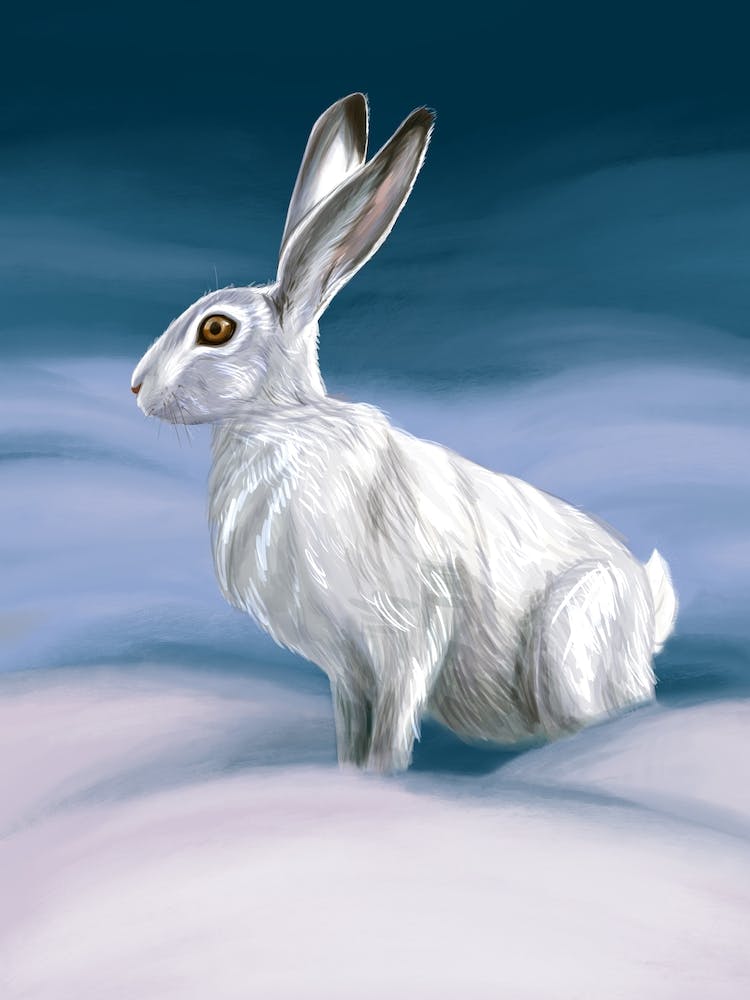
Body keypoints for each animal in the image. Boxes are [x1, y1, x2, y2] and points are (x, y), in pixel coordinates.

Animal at [131, 93, 678, 773]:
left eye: (215, 330)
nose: (137, 387)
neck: (280, 424)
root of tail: (648, 615)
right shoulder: (346, 668)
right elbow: (351, 728)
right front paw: (348, 779)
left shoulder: (407, 638)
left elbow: (391, 729)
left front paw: (385, 781)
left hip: (569, 641)